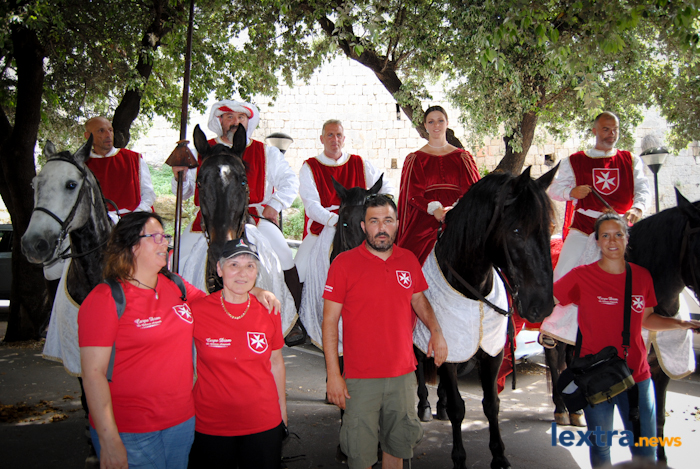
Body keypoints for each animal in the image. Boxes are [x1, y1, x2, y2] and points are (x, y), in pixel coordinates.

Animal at [412, 166, 558, 469]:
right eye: (516, 230)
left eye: (549, 229)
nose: (541, 306)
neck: (473, 288)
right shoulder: (448, 347)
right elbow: (460, 408)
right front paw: (459, 458)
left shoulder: (492, 352)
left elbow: (492, 405)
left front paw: (499, 455)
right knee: (420, 367)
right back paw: (425, 406)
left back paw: (440, 404)